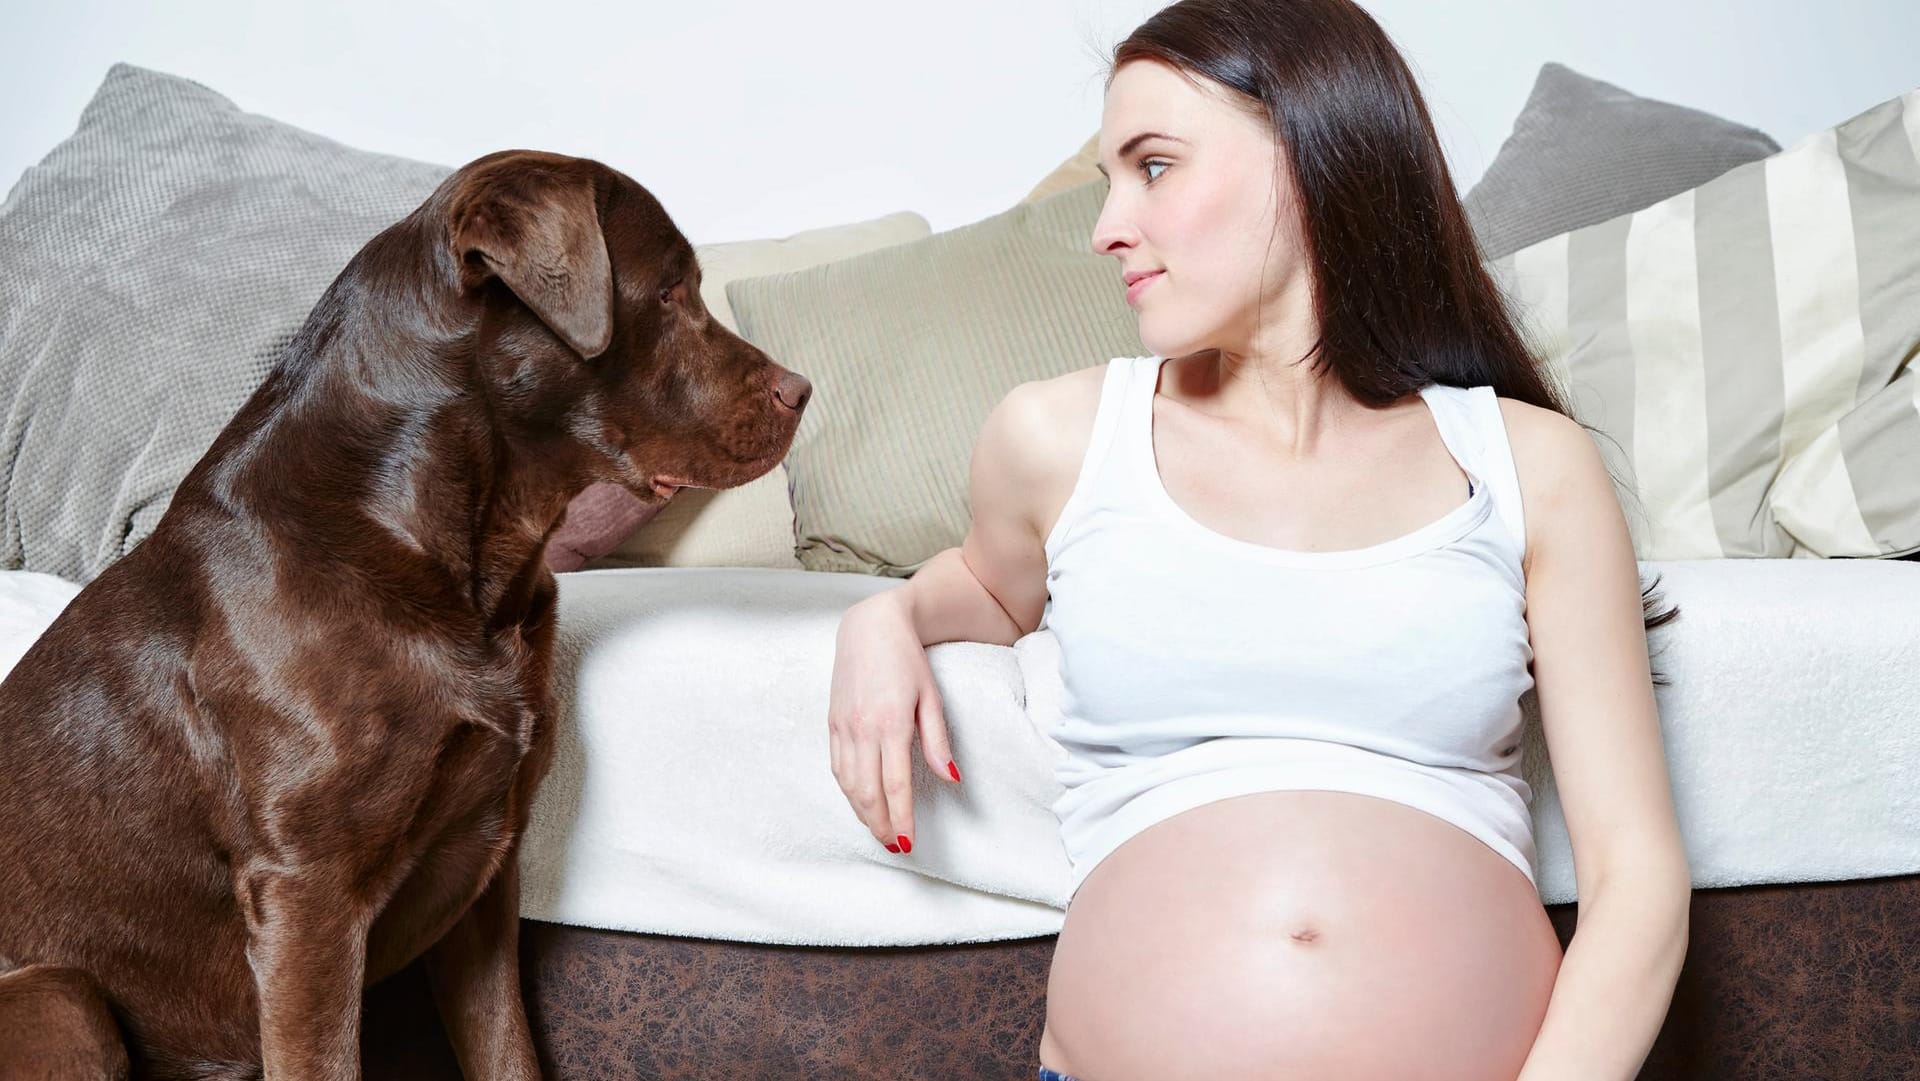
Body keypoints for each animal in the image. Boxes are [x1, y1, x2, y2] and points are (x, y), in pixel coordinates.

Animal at [0, 147, 802, 1075]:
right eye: (670, 291)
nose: (804, 391)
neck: (453, 556)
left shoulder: (486, 873)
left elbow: (507, 1050)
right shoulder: (306, 896)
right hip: (63, 997)